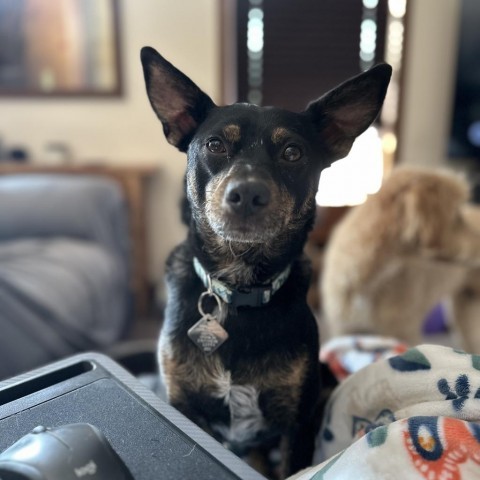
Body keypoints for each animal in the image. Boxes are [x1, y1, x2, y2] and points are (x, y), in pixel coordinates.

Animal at [141, 47, 392, 476]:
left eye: (293, 152)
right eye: (214, 145)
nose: (246, 194)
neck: (239, 287)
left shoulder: (297, 422)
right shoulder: (183, 405)